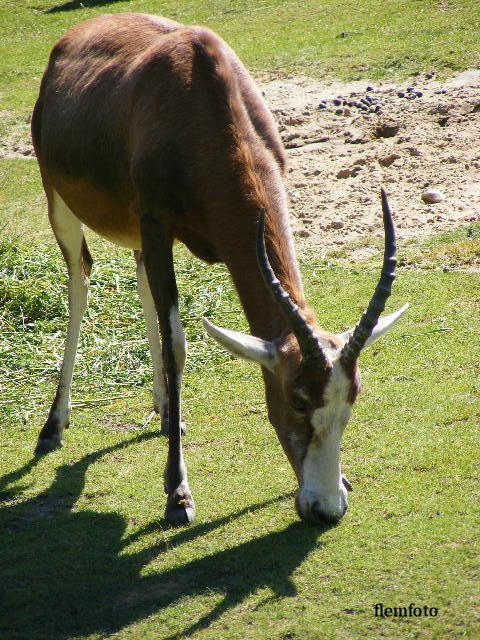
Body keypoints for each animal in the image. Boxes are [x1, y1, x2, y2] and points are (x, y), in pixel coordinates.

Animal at [31, 12, 404, 528]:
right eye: (297, 399)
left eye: (351, 398)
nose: (326, 508)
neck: (196, 89)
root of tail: (72, 37)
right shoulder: (156, 223)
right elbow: (178, 345)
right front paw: (178, 494)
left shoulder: (156, 230)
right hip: (61, 203)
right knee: (80, 280)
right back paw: (53, 426)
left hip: (134, 234)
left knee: (141, 284)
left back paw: (166, 409)